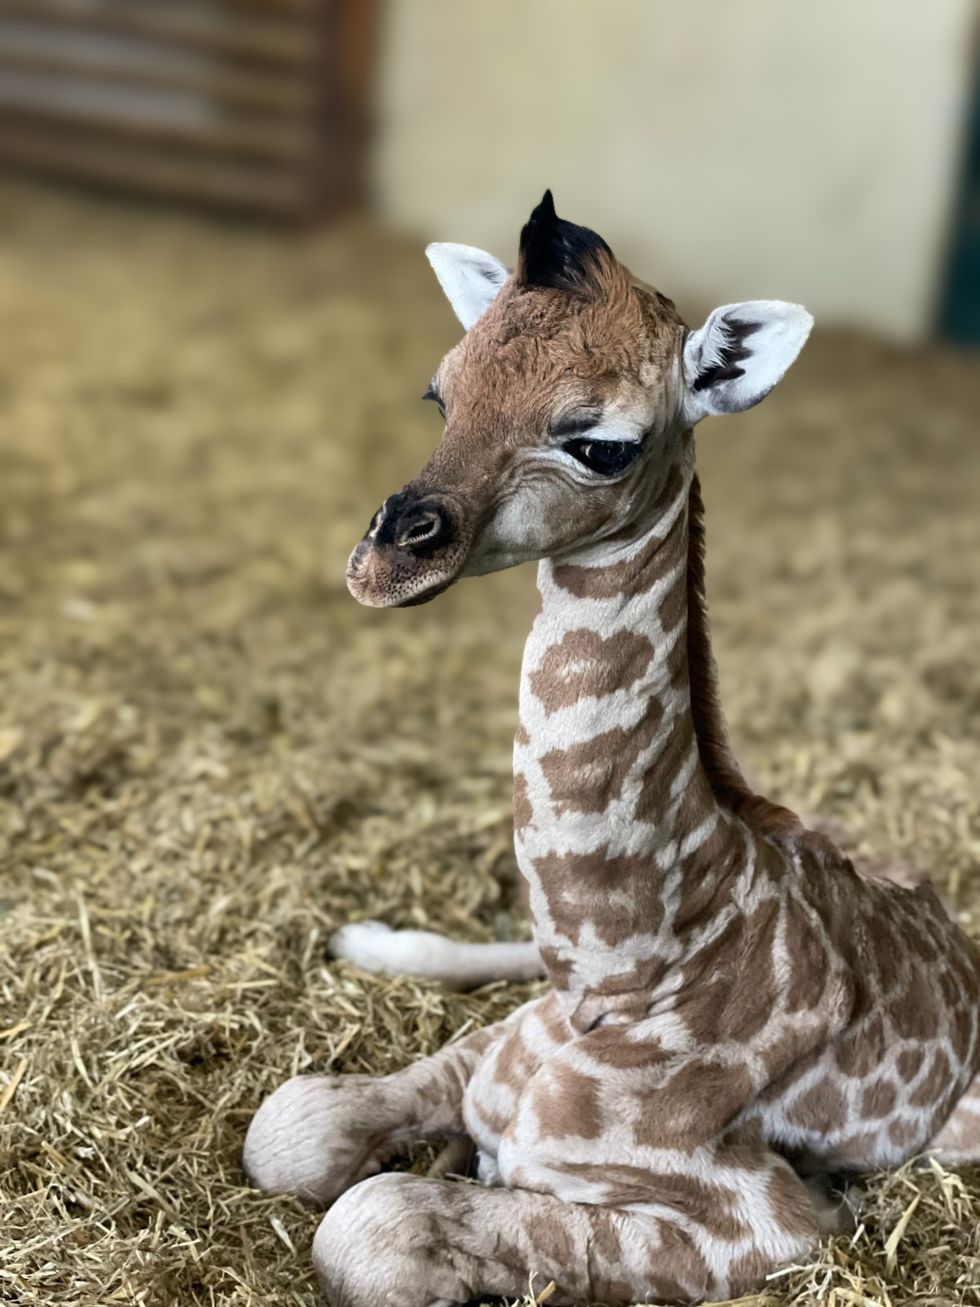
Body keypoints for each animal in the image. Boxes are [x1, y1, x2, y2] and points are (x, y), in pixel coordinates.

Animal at [246, 193, 980, 1307]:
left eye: (600, 444)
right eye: (439, 392)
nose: (382, 560)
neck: (621, 966)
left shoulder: (766, 1220)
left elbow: (370, 1221)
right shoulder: (492, 1053)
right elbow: (288, 1127)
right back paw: (364, 938)